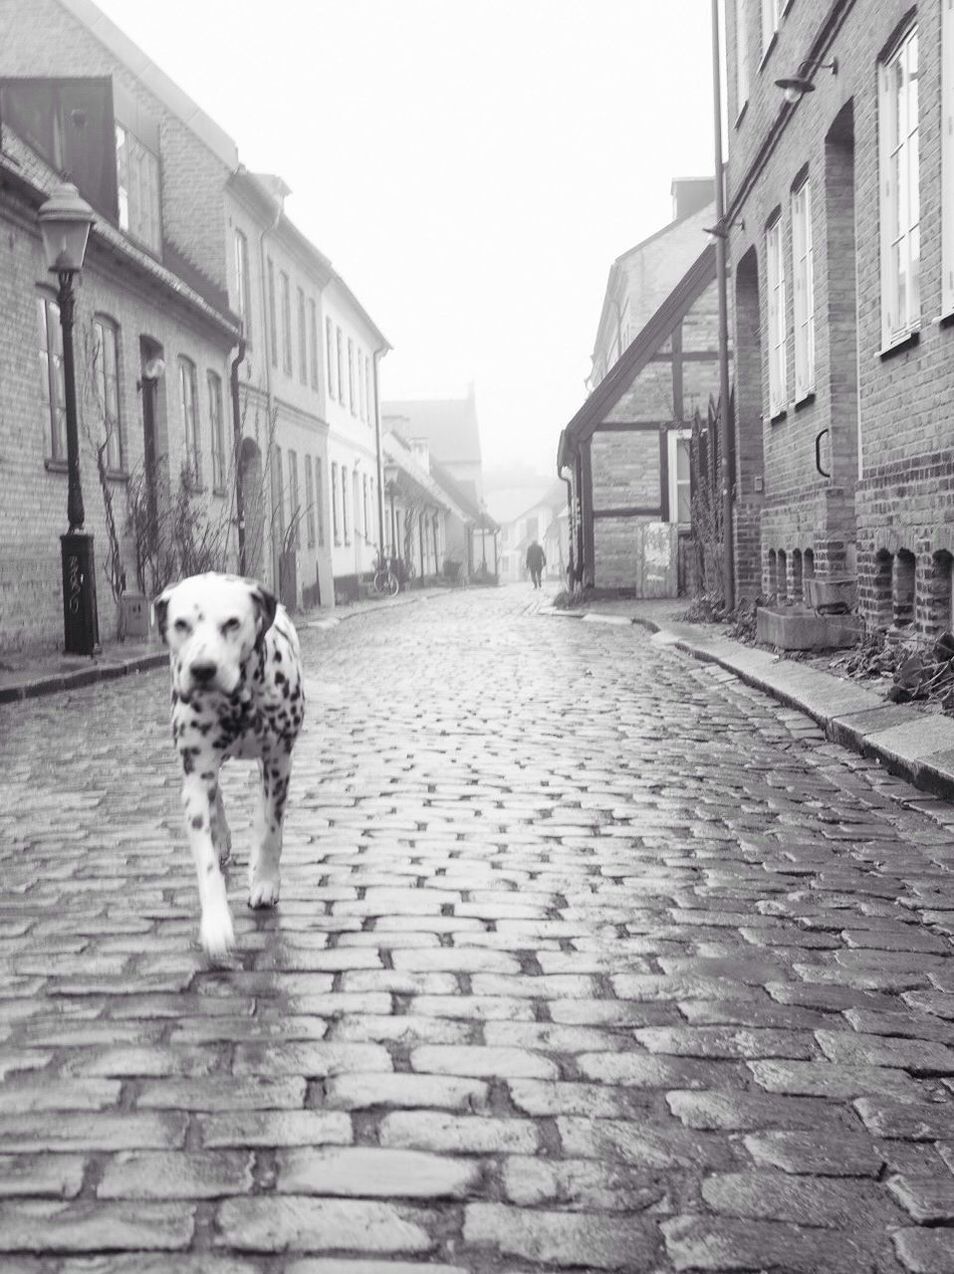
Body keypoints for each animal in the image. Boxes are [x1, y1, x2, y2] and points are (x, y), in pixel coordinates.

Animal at [152, 573, 303, 958]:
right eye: (181, 624)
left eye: (232, 623)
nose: (203, 670)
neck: (238, 703)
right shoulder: (196, 772)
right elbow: (205, 859)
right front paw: (216, 924)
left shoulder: (278, 761)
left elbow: (271, 830)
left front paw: (264, 882)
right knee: (215, 796)